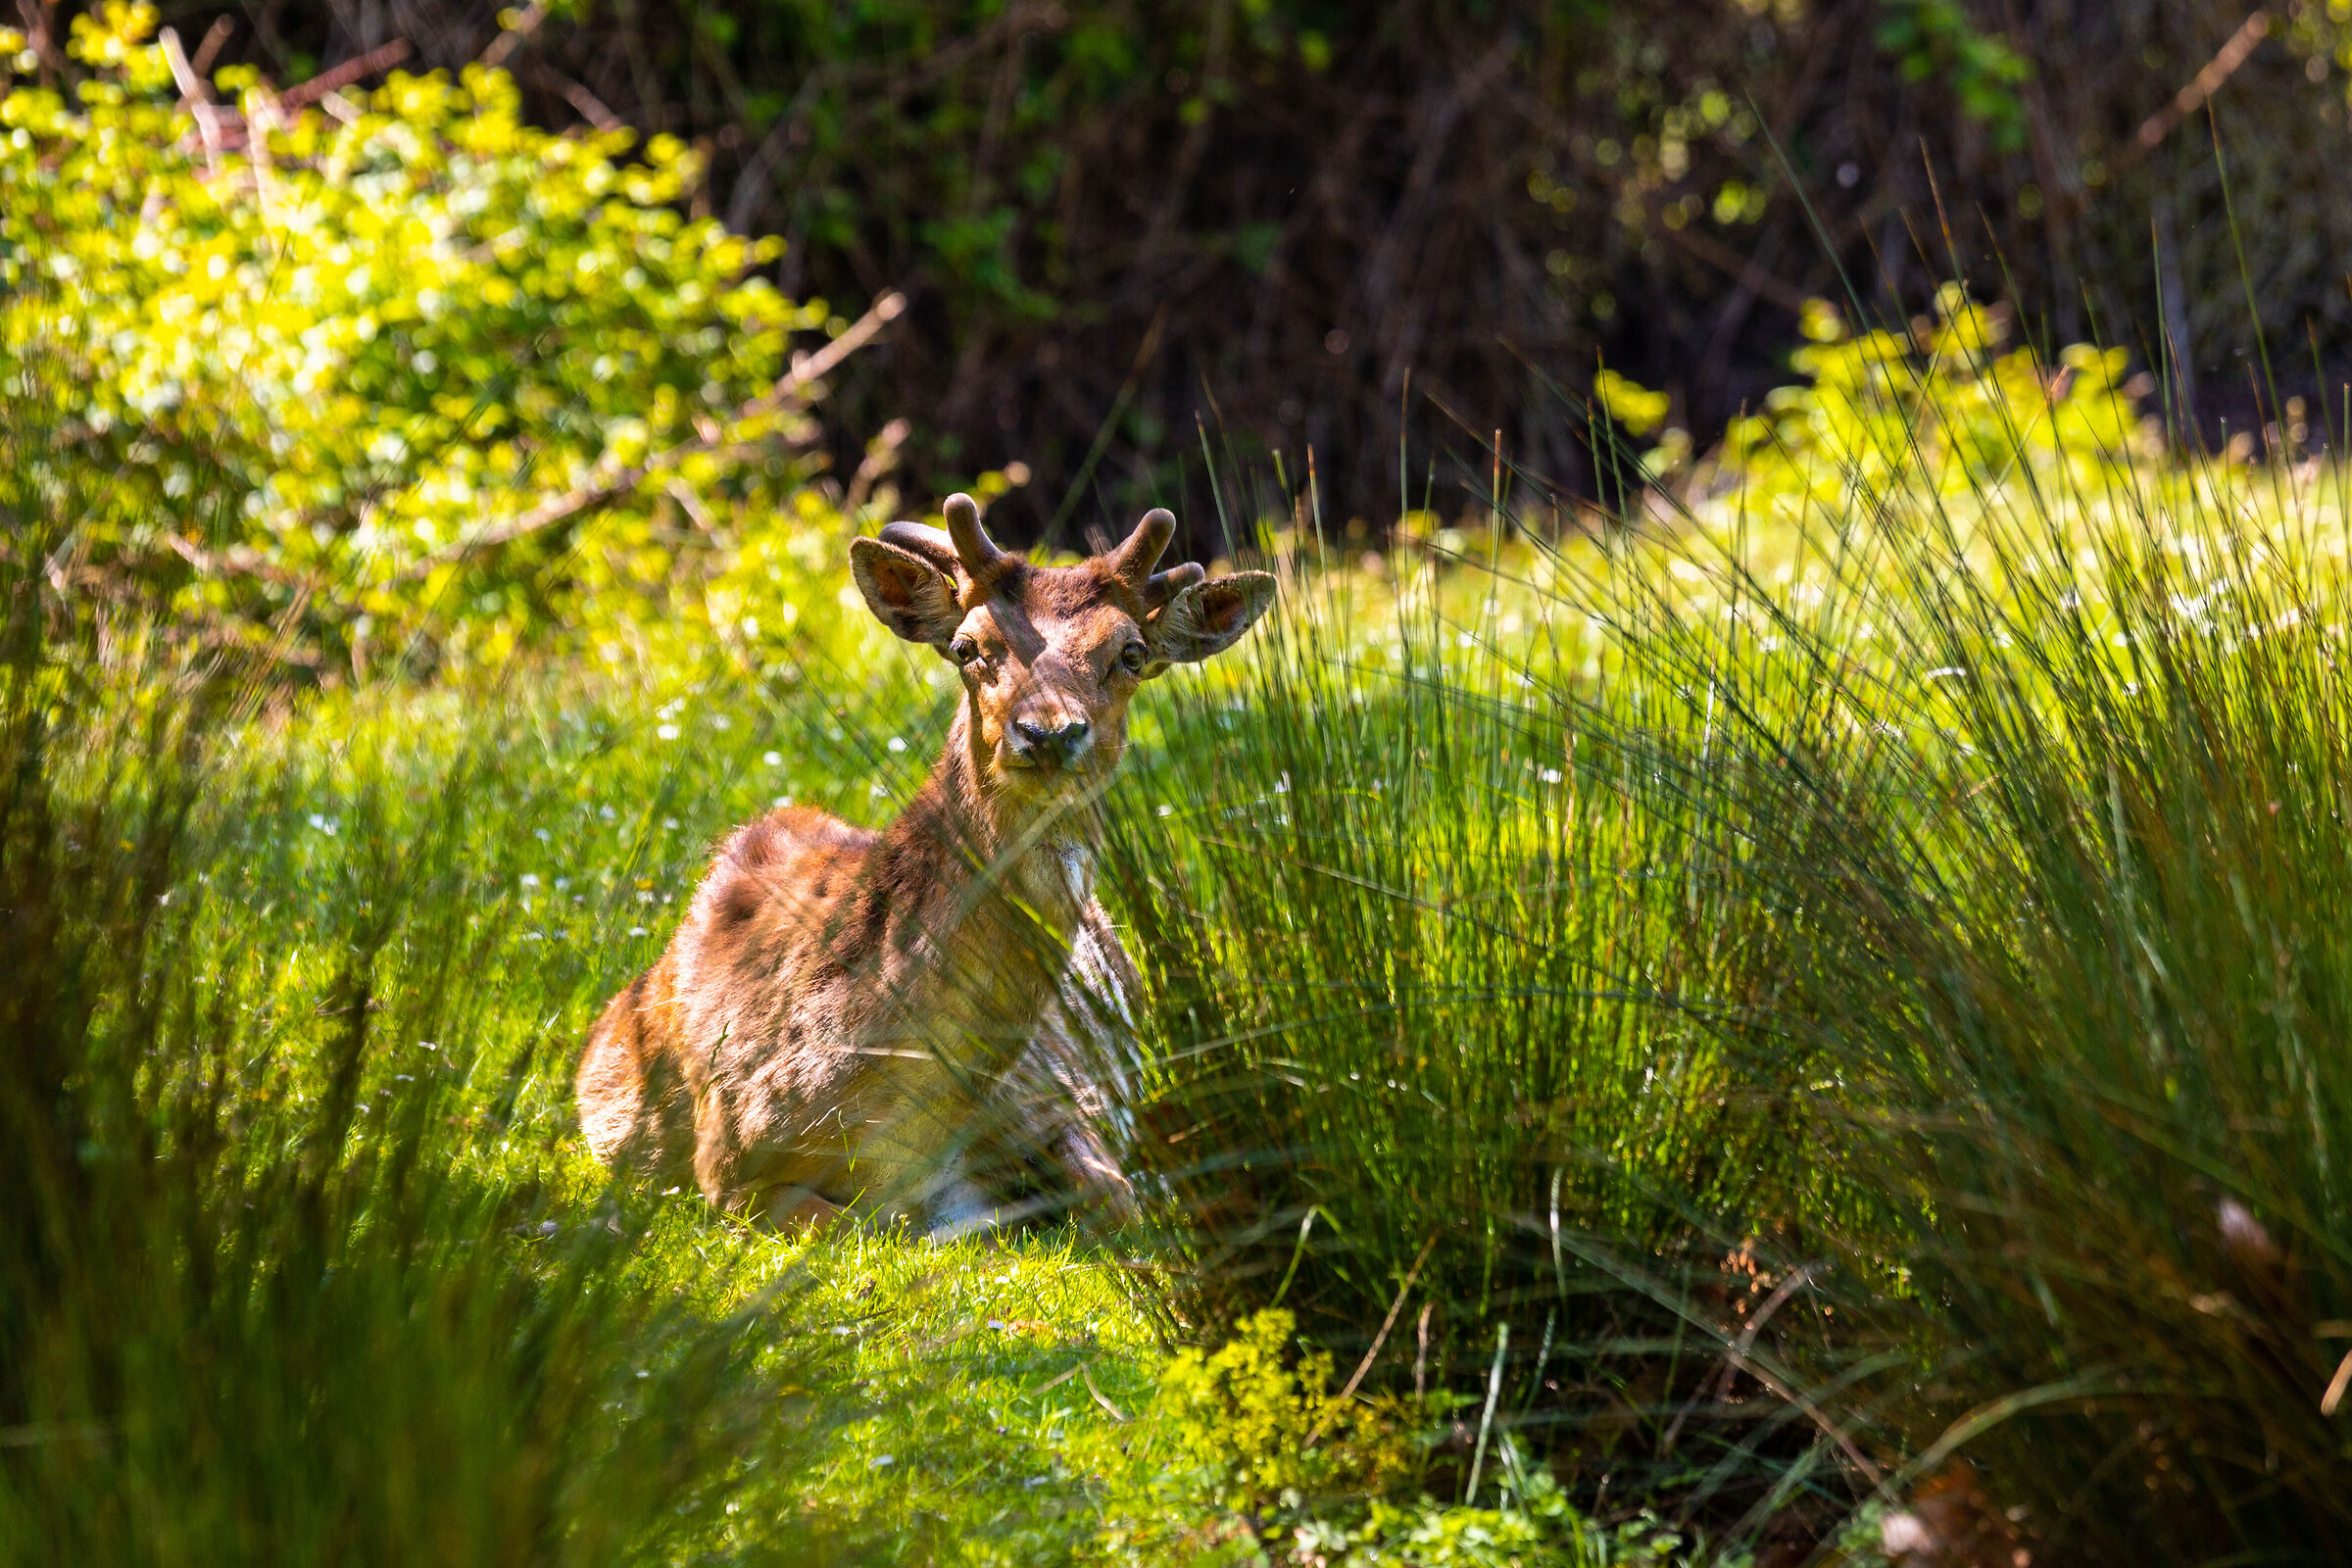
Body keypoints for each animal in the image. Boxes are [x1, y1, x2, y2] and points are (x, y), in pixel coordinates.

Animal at [575, 494, 1275, 1233]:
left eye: (1132, 653)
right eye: (968, 647)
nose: (1049, 732)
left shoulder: (1058, 1104)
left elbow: (1125, 1204)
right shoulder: (728, 1161)